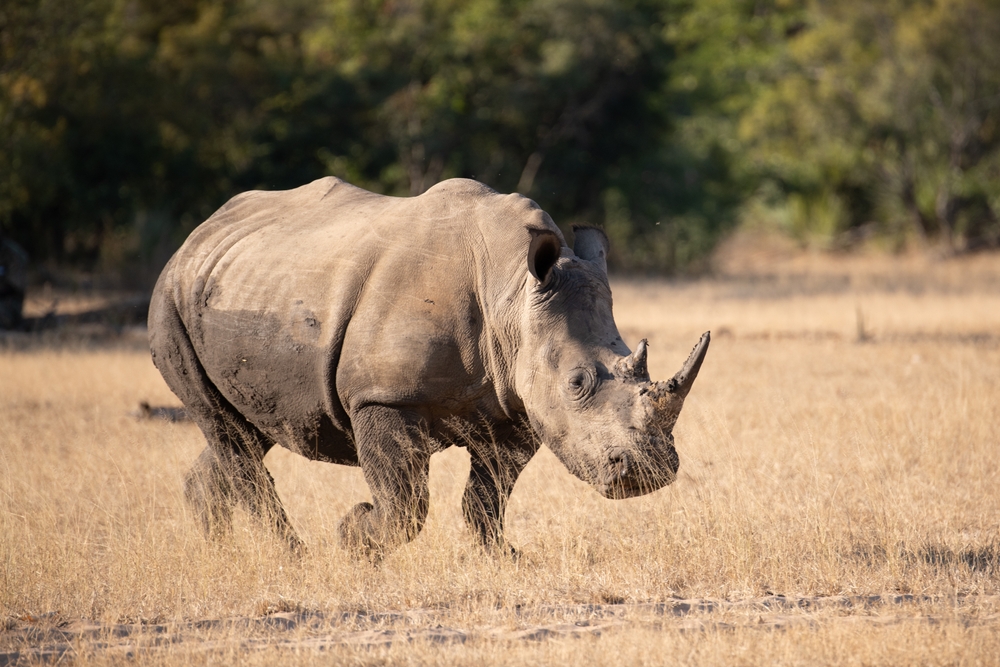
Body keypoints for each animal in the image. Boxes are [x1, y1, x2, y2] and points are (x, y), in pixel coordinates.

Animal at [150, 176, 712, 560]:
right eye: (578, 382)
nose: (648, 474)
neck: (512, 295)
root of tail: (194, 236)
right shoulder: (381, 396)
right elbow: (405, 503)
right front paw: (354, 537)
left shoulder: (516, 405)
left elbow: (486, 498)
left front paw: (506, 560)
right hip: (171, 301)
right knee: (227, 430)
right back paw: (294, 557)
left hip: (236, 286)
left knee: (246, 428)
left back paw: (221, 549)